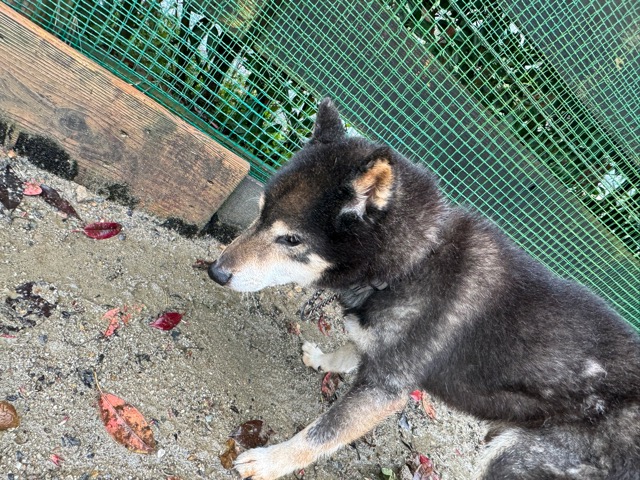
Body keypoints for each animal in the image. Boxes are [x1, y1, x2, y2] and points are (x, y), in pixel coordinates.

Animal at [208, 98, 640, 480]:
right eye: (259, 213)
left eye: (291, 240)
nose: (216, 271)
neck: (413, 263)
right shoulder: (379, 351)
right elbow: (351, 346)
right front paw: (324, 359)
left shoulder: (386, 390)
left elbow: (321, 434)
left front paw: (270, 462)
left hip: (513, 456)